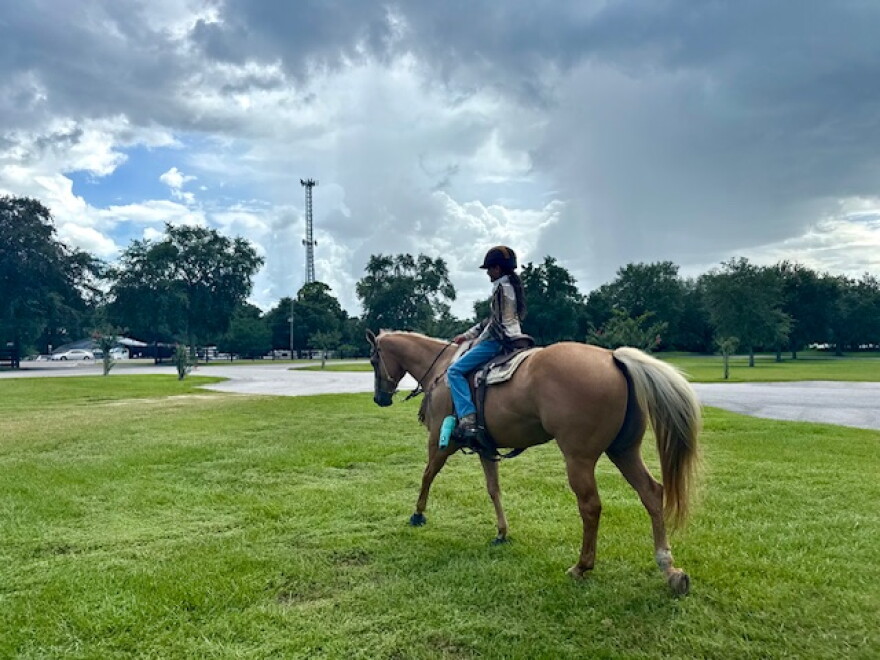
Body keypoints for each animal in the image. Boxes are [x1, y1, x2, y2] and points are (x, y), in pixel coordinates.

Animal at [365, 329, 701, 595]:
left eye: (372, 360)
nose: (380, 398)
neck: (444, 369)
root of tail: (612, 358)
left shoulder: (439, 442)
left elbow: (427, 475)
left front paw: (418, 514)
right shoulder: (485, 449)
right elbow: (494, 490)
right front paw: (501, 532)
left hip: (579, 458)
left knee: (591, 506)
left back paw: (582, 566)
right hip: (624, 451)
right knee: (652, 493)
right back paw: (668, 568)